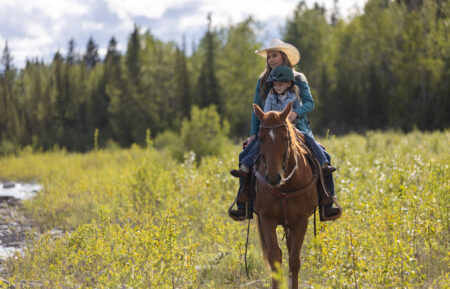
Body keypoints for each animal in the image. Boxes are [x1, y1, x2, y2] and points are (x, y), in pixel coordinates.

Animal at [253, 102, 316, 288]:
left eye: (285, 138)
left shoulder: (301, 220)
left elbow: (294, 260)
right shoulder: (266, 218)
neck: (284, 188)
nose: (274, 178)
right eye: (261, 138)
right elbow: (275, 257)